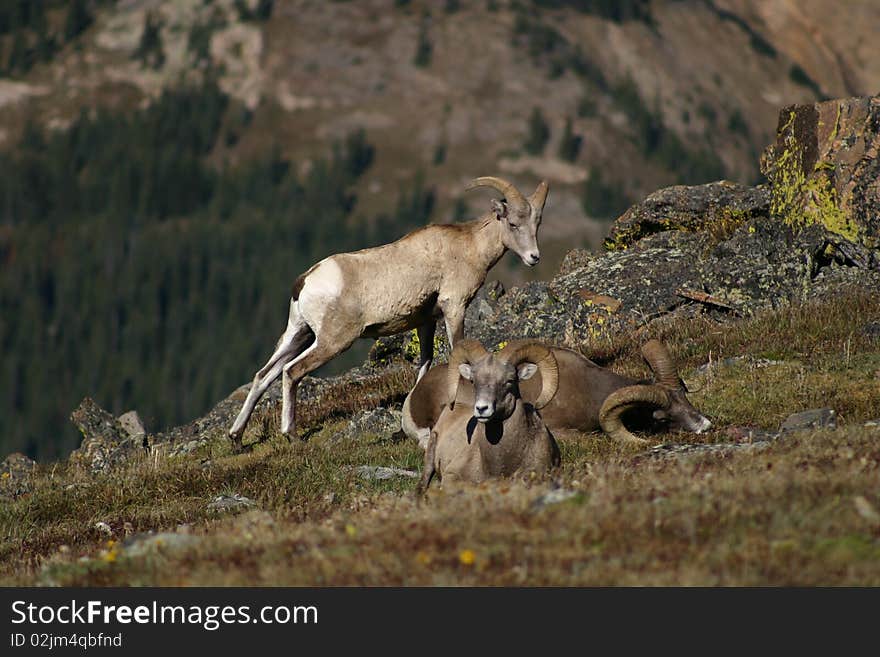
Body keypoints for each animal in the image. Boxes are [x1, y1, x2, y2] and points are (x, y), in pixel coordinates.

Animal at [230, 176, 548, 452]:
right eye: (513, 223)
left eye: (537, 223)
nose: (534, 258)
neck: (469, 247)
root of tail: (305, 281)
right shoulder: (454, 307)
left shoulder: (426, 322)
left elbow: (424, 364)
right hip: (331, 342)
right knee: (291, 371)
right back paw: (291, 434)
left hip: (299, 334)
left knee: (264, 375)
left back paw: (236, 437)